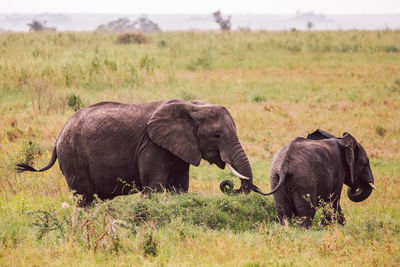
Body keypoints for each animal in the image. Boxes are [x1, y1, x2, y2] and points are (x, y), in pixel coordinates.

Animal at [17, 99, 253, 206]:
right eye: (216, 135)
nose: (227, 185)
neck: (191, 107)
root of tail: (58, 136)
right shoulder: (152, 146)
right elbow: (154, 187)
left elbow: (179, 188)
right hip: (73, 157)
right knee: (83, 198)